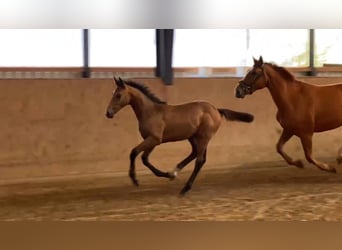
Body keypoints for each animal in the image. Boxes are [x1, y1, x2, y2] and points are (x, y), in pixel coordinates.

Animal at [107, 77, 254, 194]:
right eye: (113, 93)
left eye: (118, 95)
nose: (108, 113)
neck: (150, 112)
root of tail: (216, 110)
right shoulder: (152, 141)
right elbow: (145, 159)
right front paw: (168, 175)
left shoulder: (154, 139)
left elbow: (134, 153)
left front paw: (134, 179)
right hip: (194, 137)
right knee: (195, 154)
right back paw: (175, 172)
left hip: (203, 137)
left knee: (199, 160)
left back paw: (185, 188)